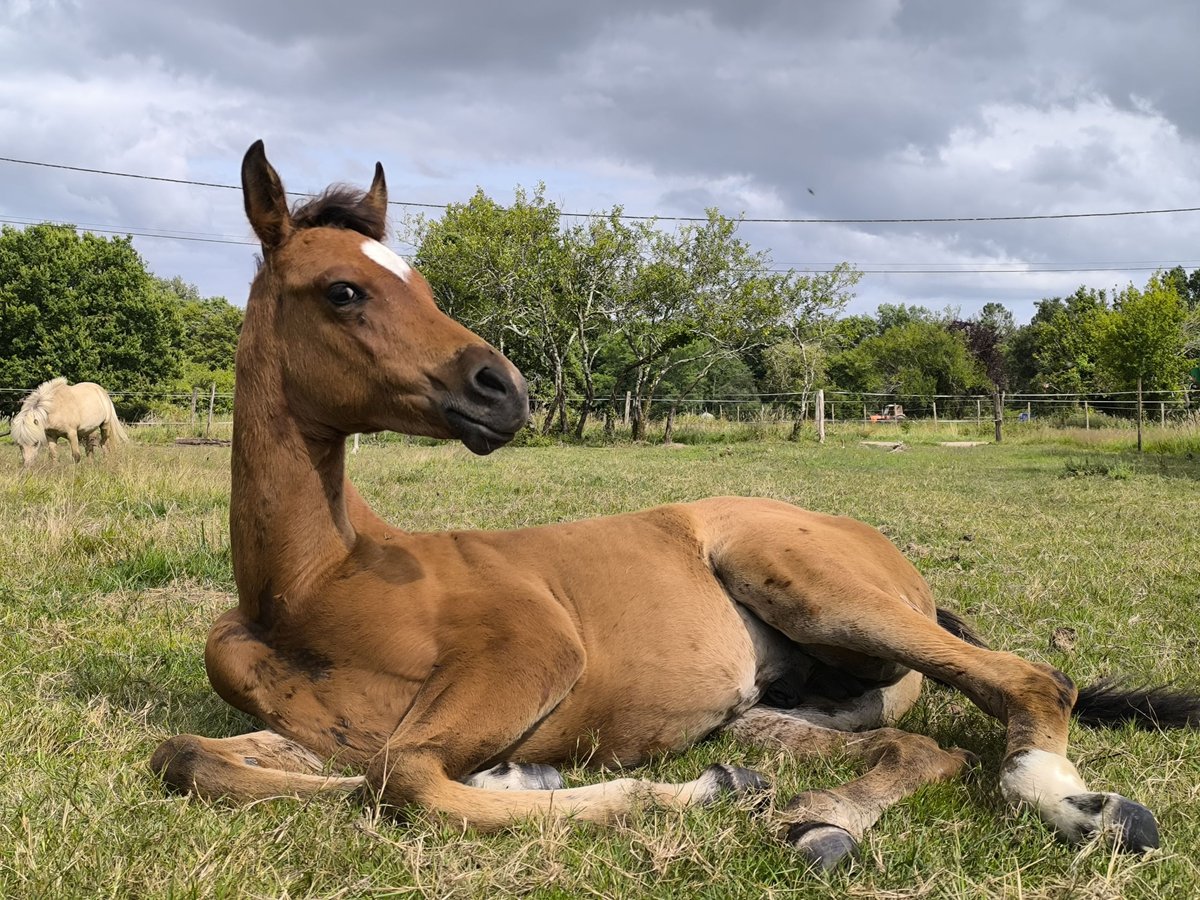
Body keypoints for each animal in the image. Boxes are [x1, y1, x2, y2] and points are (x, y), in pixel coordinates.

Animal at [152, 142, 1200, 873]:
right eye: (342, 290)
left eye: (426, 284)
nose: (504, 390)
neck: (315, 586)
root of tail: (900, 567)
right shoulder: (315, 730)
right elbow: (195, 757)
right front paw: (528, 772)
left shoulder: (533, 650)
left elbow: (405, 780)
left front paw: (676, 797)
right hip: (778, 709)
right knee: (918, 747)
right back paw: (821, 824)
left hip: (811, 585)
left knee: (1033, 684)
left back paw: (1086, 811)